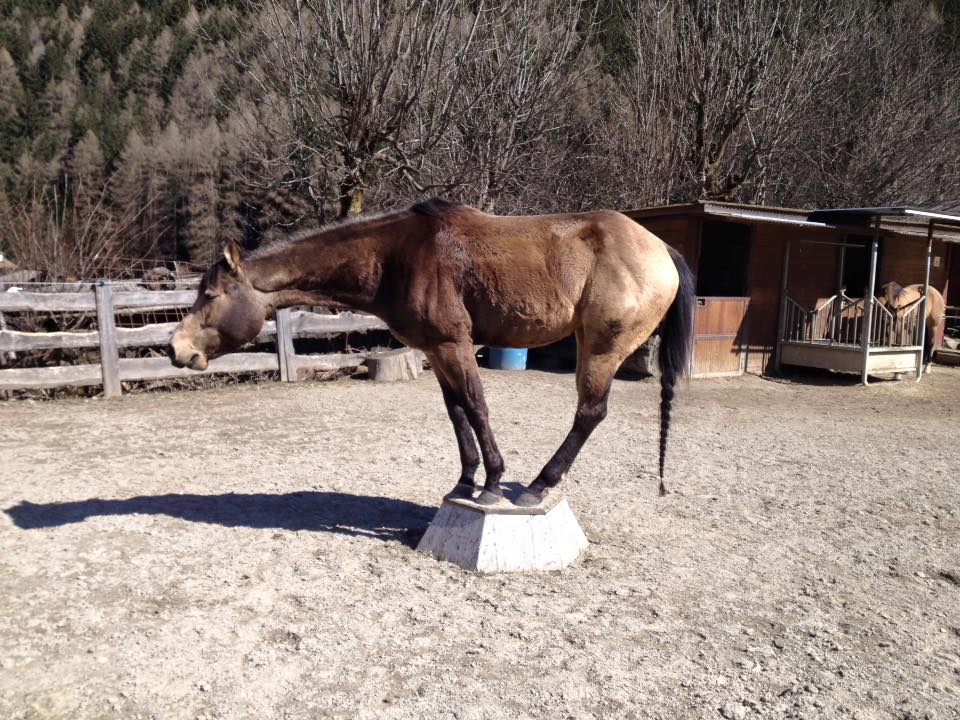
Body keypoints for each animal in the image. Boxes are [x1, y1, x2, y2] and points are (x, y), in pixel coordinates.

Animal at [168, 198, 695, 507]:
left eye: (210, 294)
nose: (177, 349)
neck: (395, 256)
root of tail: (664, 251)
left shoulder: (455, 346)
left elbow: (478, 408)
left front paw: (491, 484)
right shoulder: (436, 353)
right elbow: (457, 413)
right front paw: (465, 482)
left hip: (601, 350)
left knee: (590, 413)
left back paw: (537, 486)